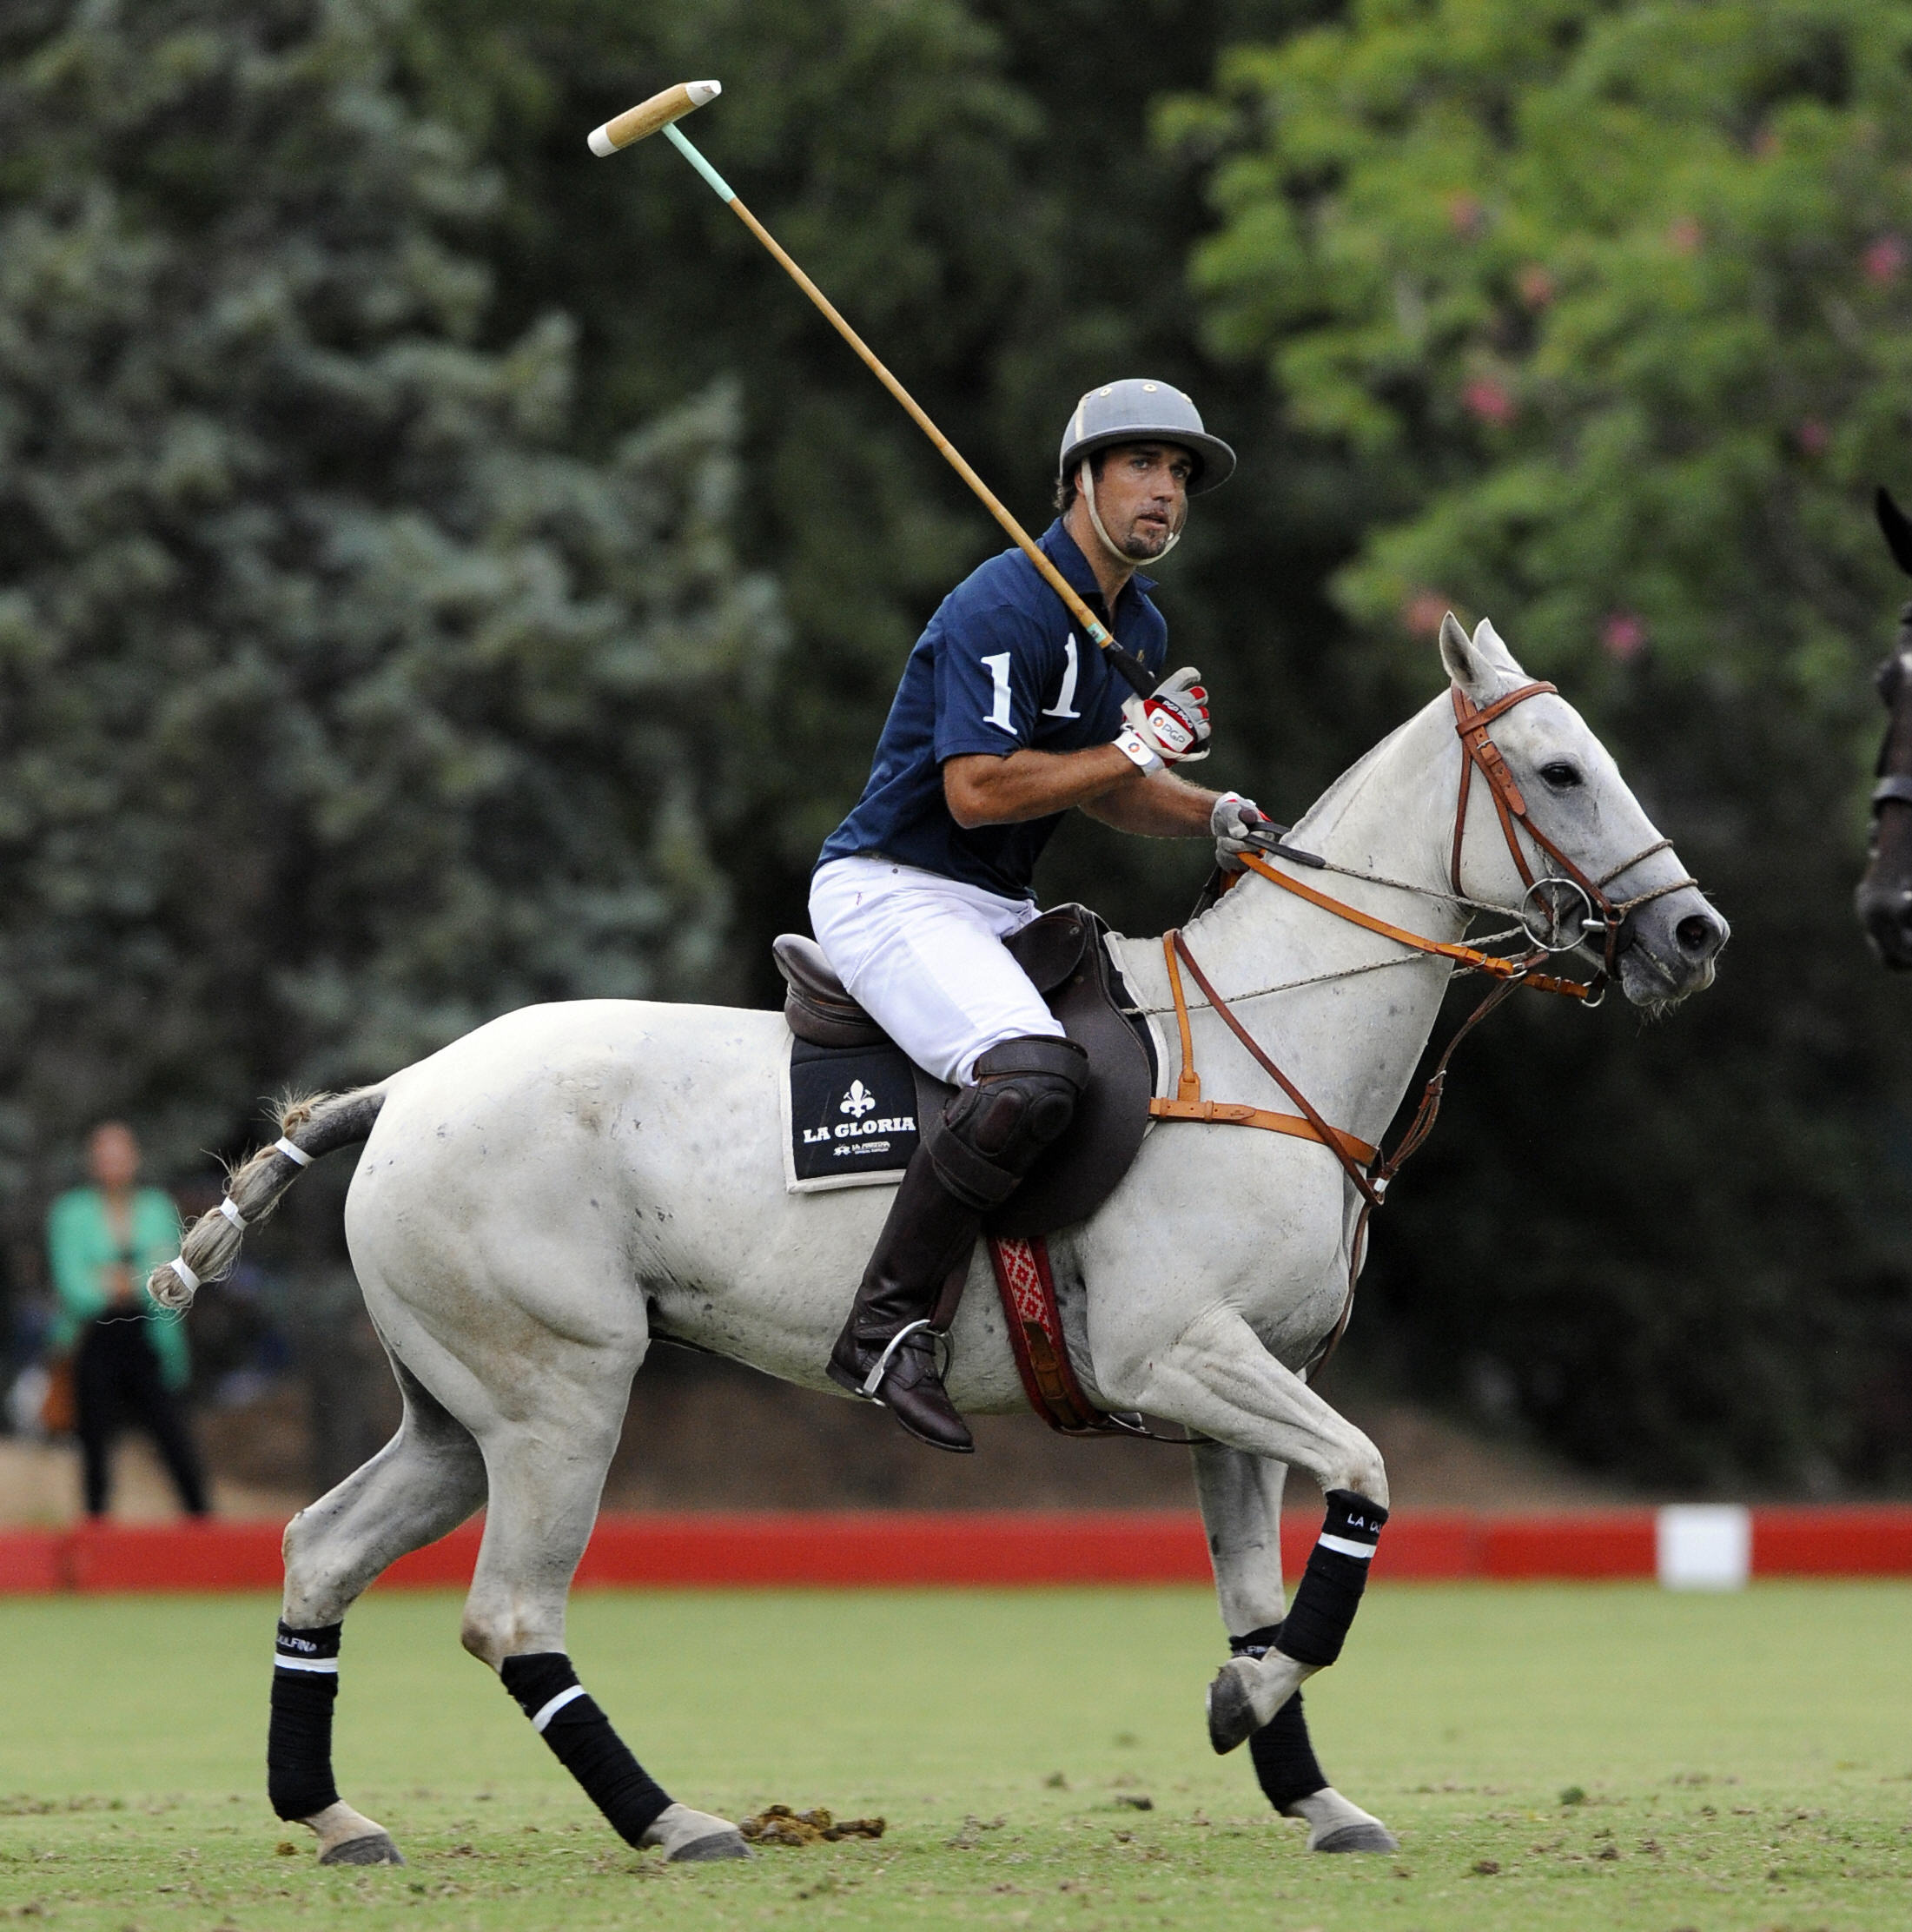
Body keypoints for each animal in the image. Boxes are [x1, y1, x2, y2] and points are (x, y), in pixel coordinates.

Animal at [157, 610, 1730, 1862]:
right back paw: (672, 1819)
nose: (1695, 938)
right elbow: (1366, 1475)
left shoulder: (1238, 1390)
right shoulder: (1175, 1353)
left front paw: (1302, 1774)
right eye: (1560, 770)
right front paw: (1249, 1703)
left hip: (457, 1405)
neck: (1268, 1037)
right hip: (562, 1391)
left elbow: (1256, 1587)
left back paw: (333, 1814)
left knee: (319, 1548)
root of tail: (405, 1085)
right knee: (510, 1615)